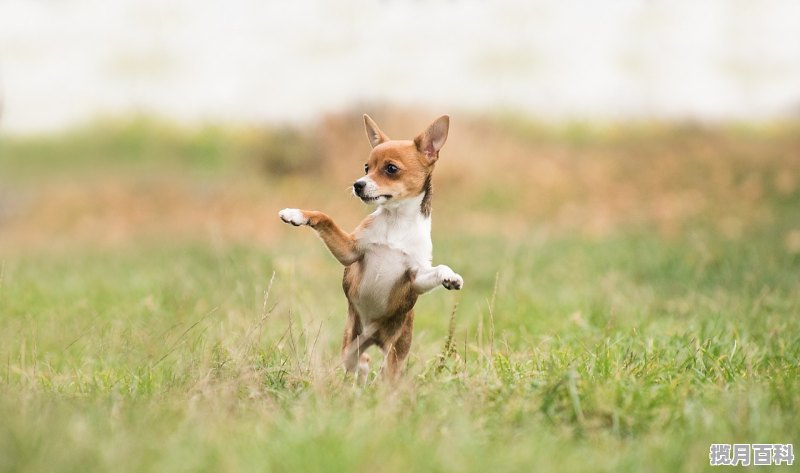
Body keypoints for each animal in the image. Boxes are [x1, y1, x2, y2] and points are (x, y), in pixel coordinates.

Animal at [278, 114, 462, 380]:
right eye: (366, 168)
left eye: (391, 169)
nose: (358, 184)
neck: (396, 222)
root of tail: (373, 337)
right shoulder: (350, 251)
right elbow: (325, 217)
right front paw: (296, 214)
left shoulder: (415, 277)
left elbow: (437, 269)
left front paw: (450, 277)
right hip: (352, 340)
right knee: (358, 360)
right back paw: (362, 370)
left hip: (396, 350)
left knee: (385, 372)